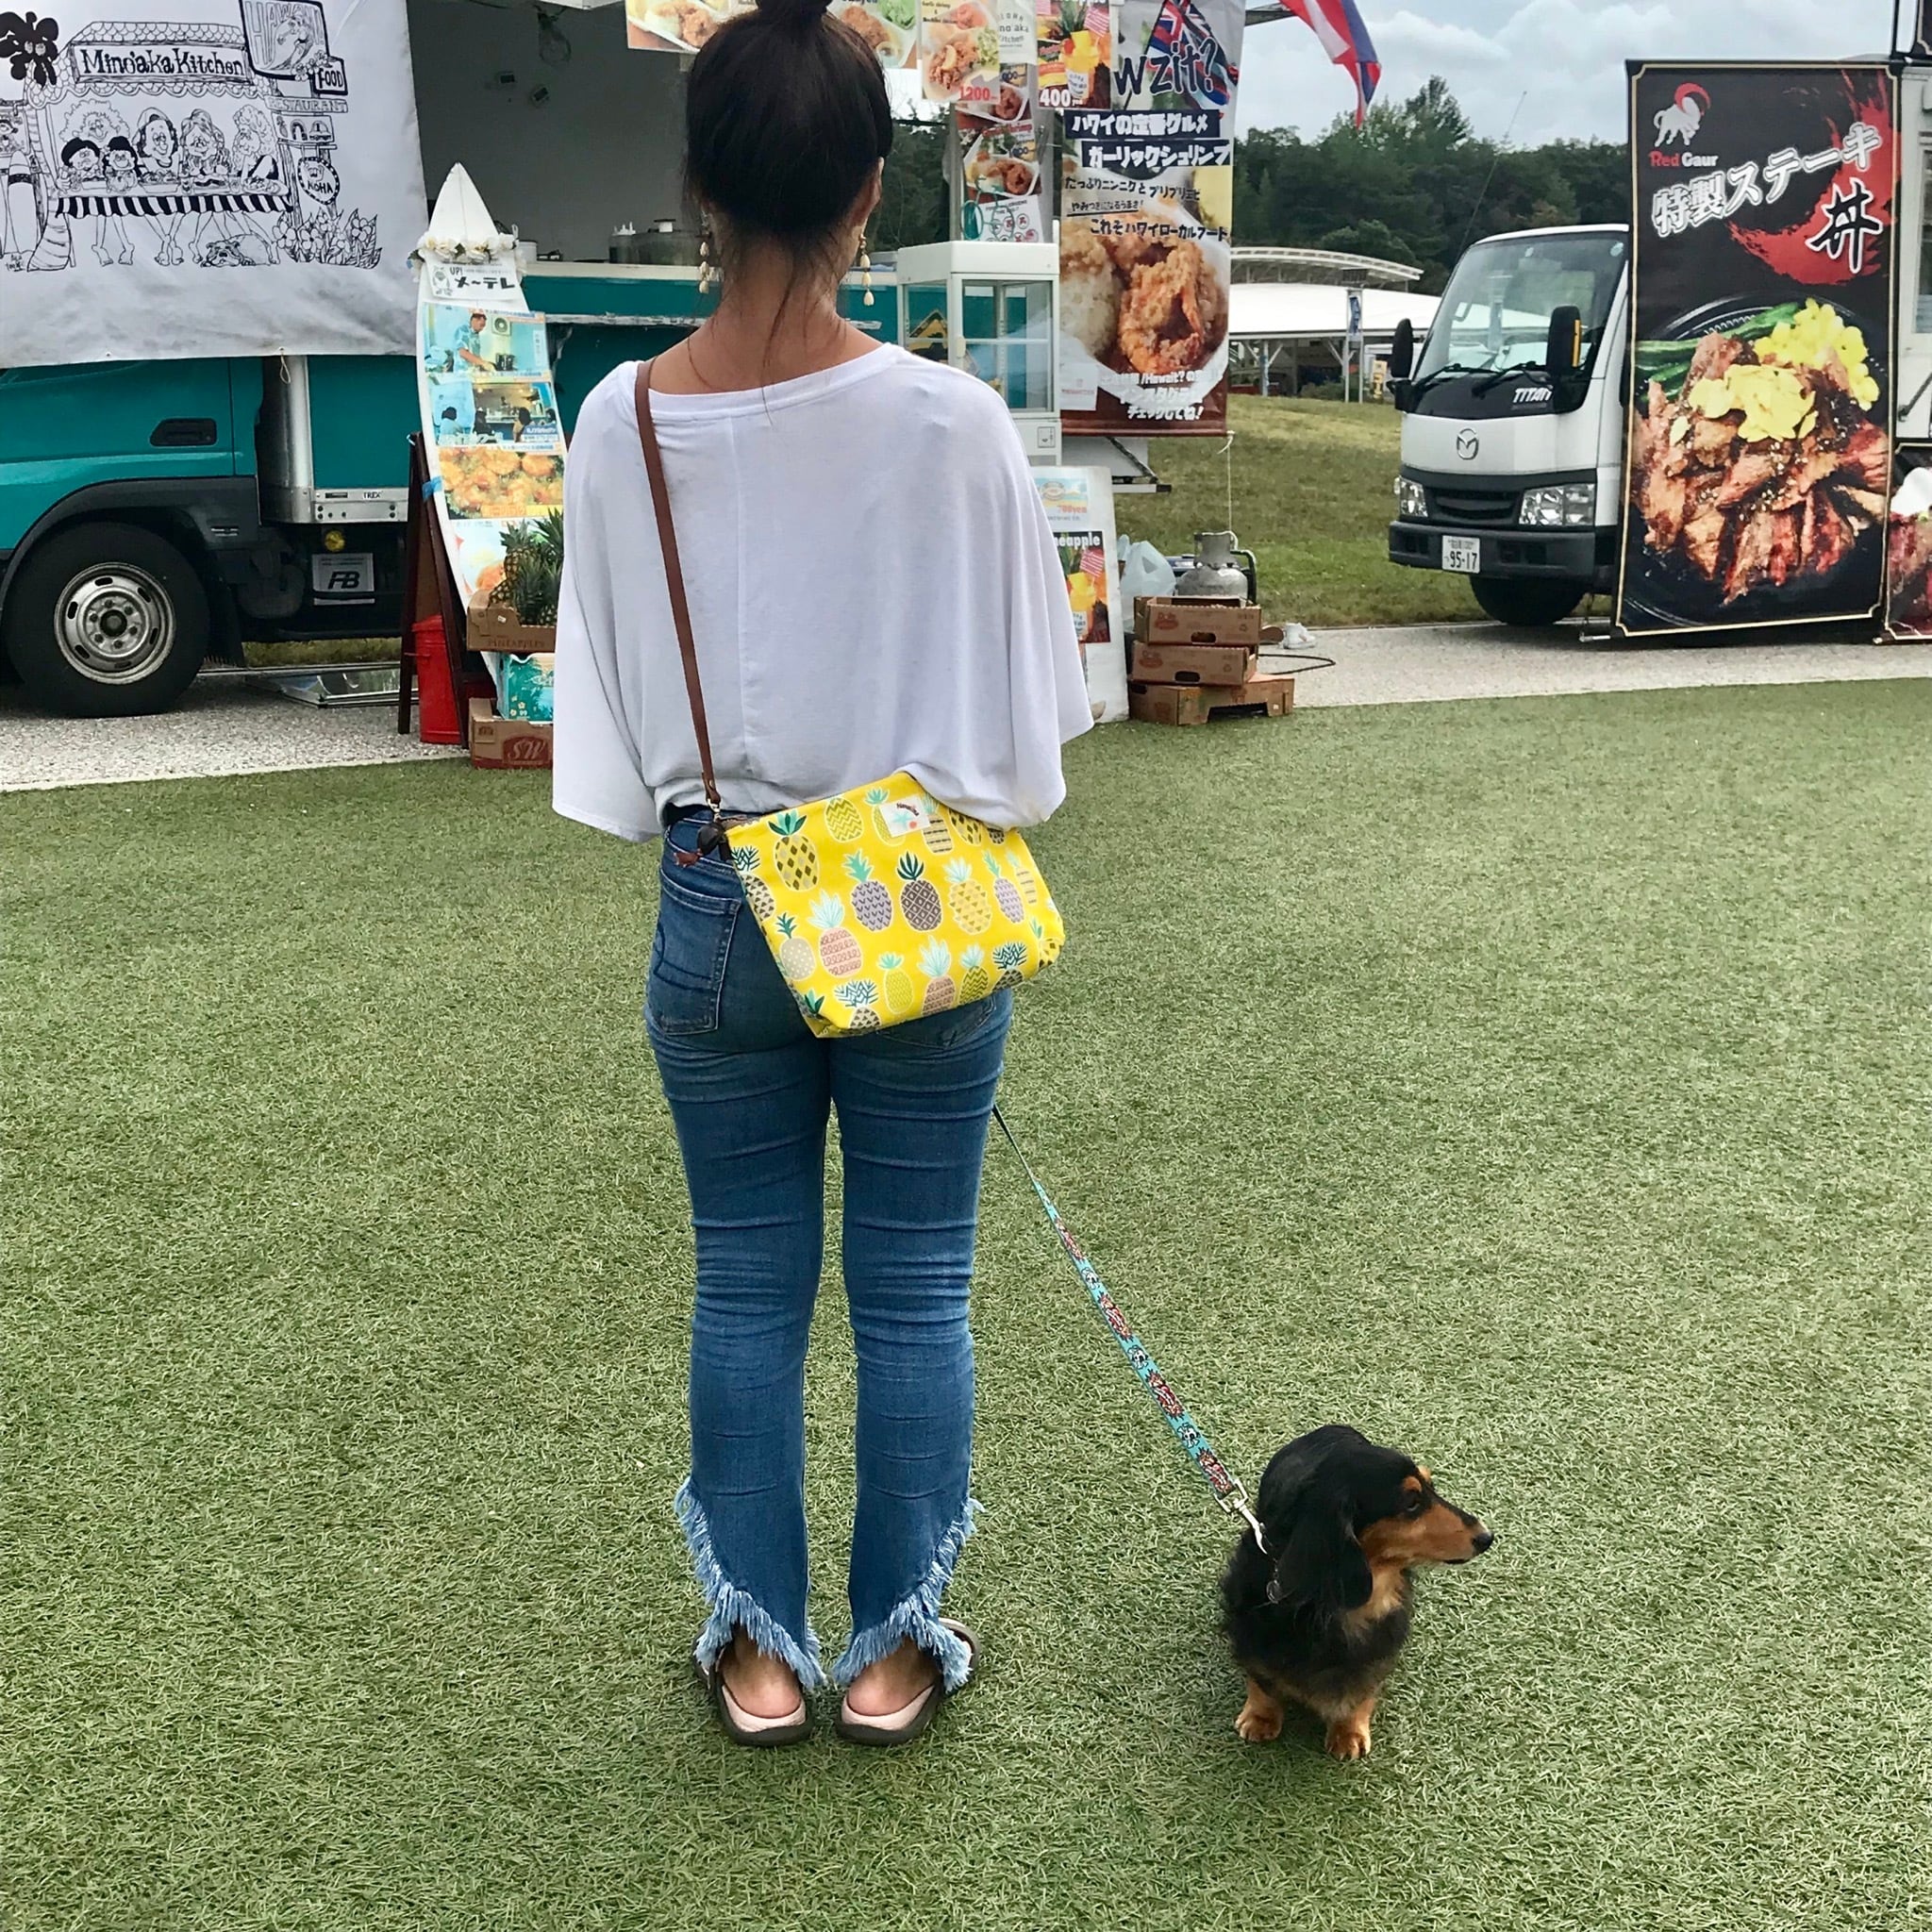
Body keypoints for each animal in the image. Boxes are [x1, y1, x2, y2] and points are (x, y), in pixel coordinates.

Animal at [1220, 1424, 1492, 1759]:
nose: (1487, 1537)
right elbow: (1261, 1680)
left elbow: (1364, 1686)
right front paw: (1260, 1718)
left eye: (1432, 1488)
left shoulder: (1382, 1637)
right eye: (1412, 1502)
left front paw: (1348, 1731)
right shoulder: (1250, 1627)